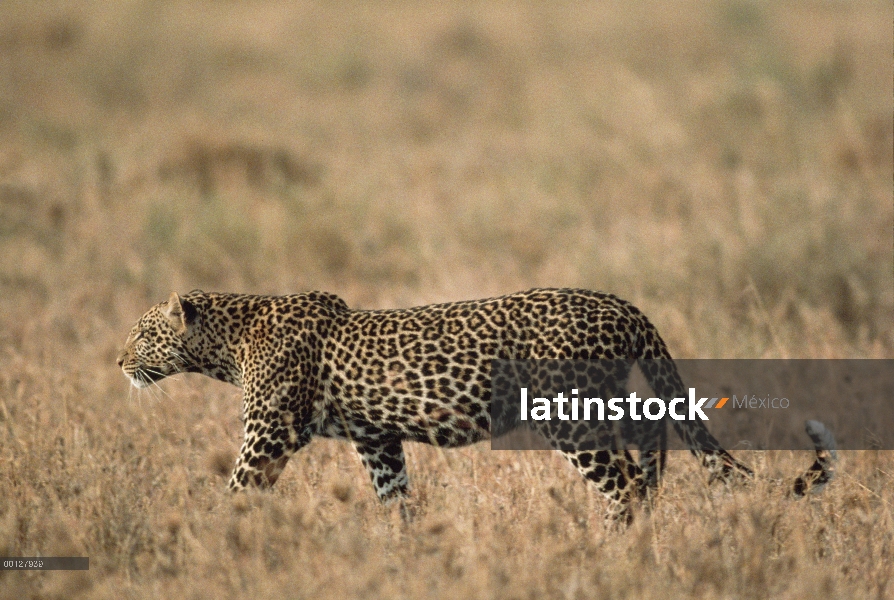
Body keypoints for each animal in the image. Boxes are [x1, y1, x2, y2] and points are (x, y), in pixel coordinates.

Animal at [115, 288, 836, 524]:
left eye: (142, 335)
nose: (118, 363)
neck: (228, 340)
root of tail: (620, 304)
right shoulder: (376, 437)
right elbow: (393, 495)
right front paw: (406, 549)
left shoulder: (268, 432)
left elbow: (237, 490)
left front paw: (215, 543)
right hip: (608, 397)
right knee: (653, 442)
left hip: (570, 414)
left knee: (625, 479)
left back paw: (613, 541)